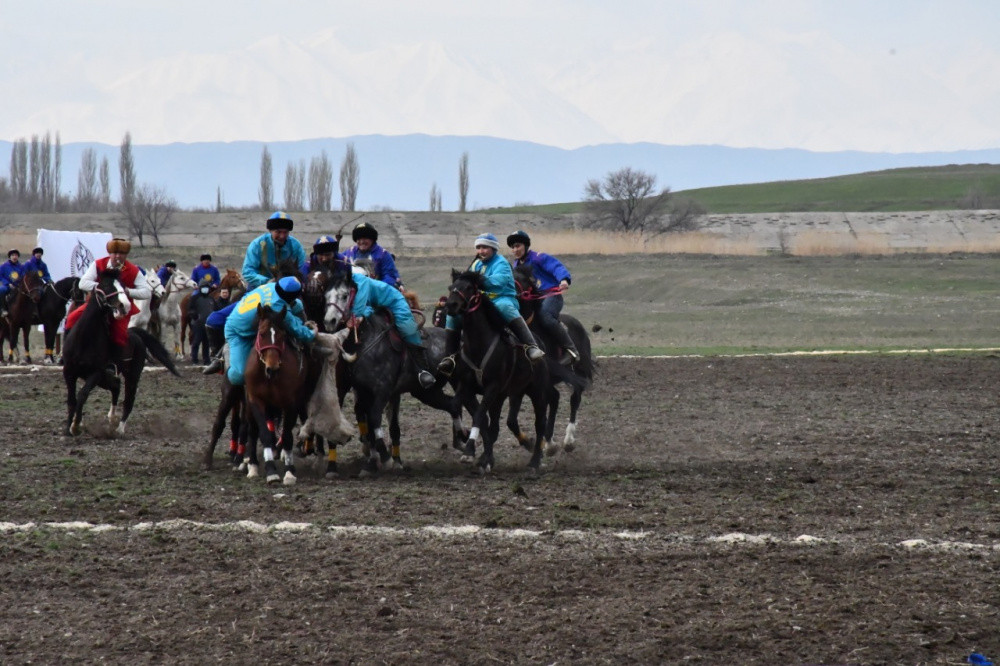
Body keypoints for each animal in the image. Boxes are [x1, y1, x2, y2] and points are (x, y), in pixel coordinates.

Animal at [62, 268, 181, 438]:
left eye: (123, 286)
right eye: (106, 286)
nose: (124, 305)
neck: (85, 338)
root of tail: (135, 334)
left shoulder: (96, 373)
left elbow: (82, 394)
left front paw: (76, 426)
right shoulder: (69, 372)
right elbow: (72, 400)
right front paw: (68, 428)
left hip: (131, 375)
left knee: (128, 399)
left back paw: (119, 428)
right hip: (105, 377)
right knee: (116, 385)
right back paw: (112, 418)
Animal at [446, 266, 552, 472]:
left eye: (469, 287)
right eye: (452, 286)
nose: (451, 305)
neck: (479, 344)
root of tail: (539, 343)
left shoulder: (492, 387)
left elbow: (479, 415)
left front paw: (469, 451)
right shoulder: (466, 384)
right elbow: (458, 407)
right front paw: (472, 446)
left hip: (538, 391)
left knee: (540, 423)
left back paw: (535, 461)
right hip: (509, 394)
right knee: (496, 424)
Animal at [516, 262, 592, 454]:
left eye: (522, 279)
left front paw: (549, 443)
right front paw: (547, 442)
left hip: (579, 369)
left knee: (575, 397)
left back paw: (568, 440)